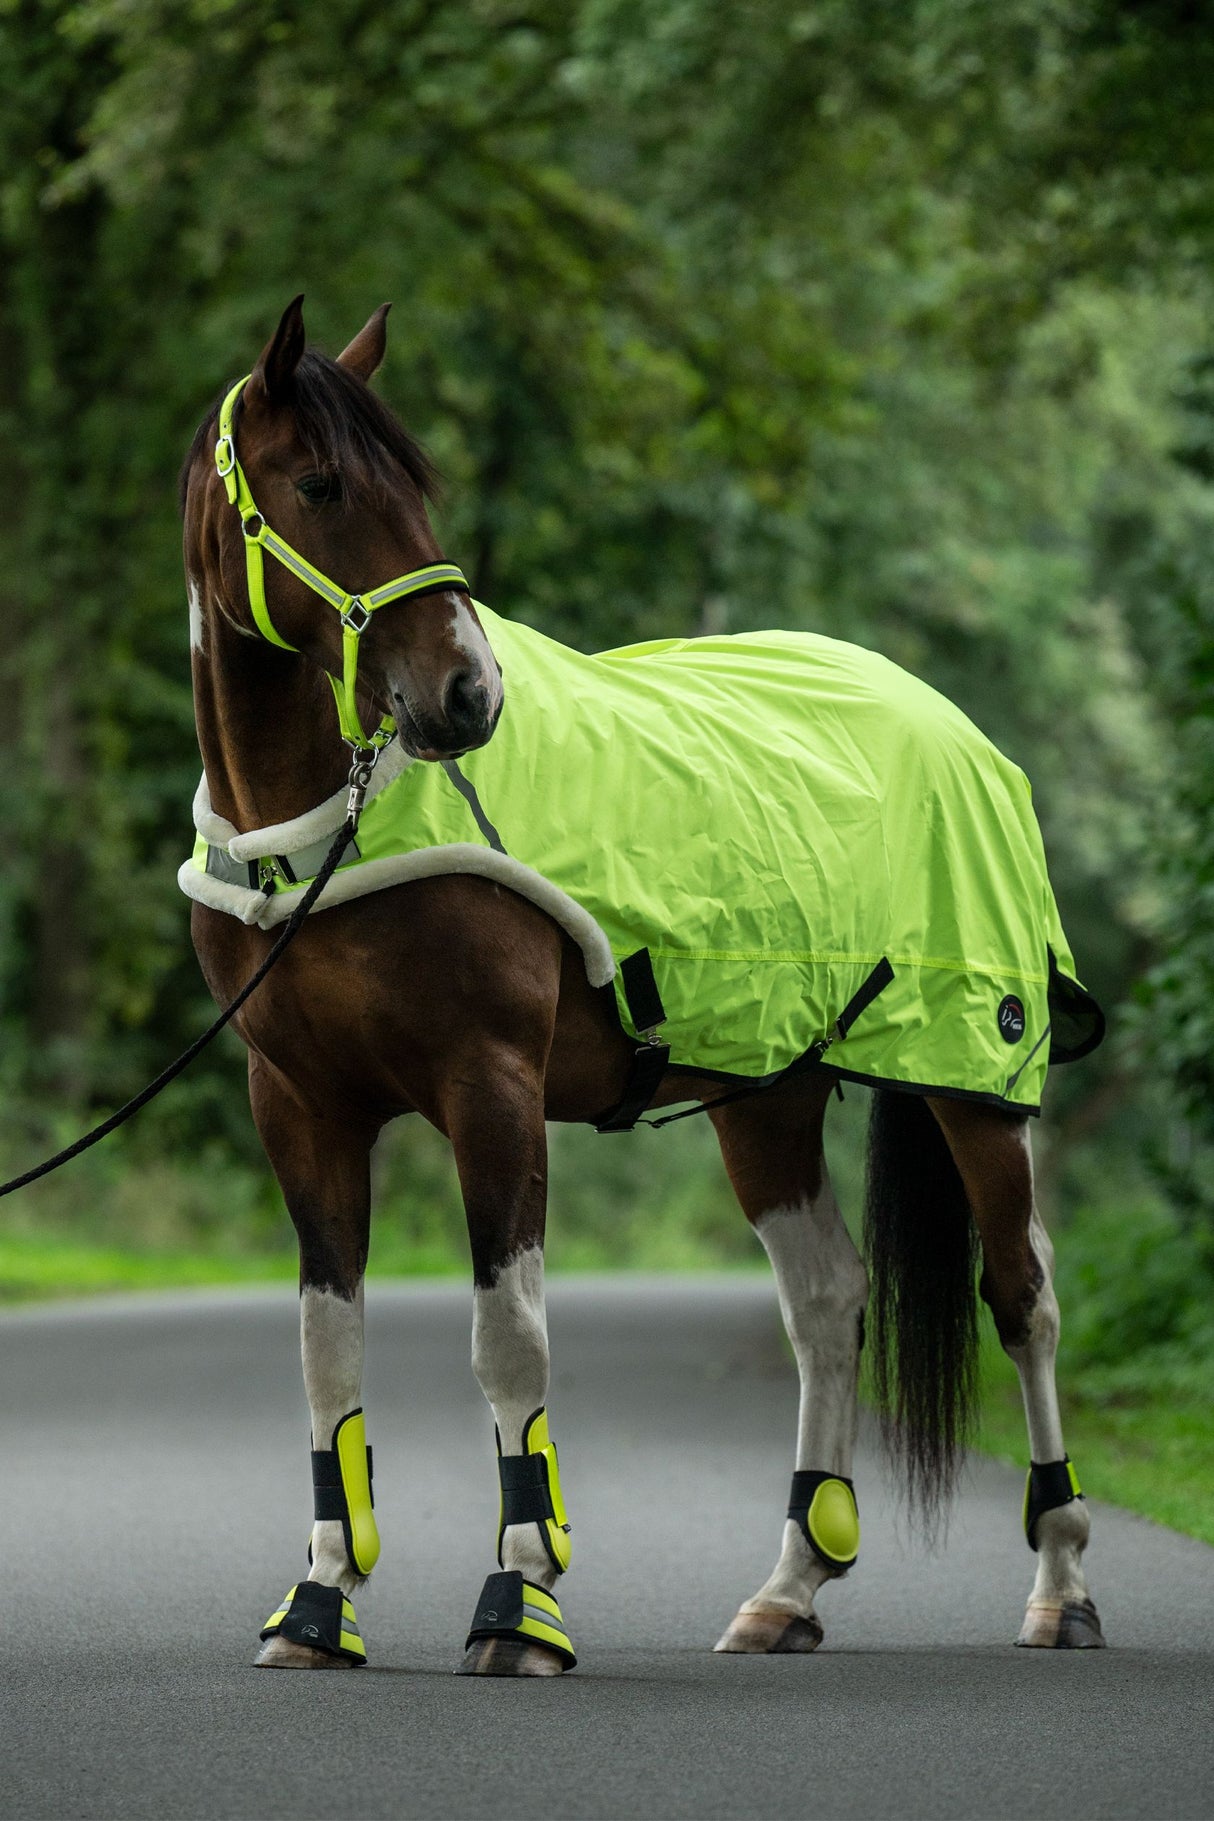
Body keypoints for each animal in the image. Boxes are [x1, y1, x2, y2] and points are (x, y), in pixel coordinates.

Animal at [178, 295, 1105, 1674]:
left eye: (416, 485)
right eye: (320, 484)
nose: (468, 695)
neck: (327, 825)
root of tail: (951, 727)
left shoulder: (490, 1089)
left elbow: (508, 1344)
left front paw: (520, 1605)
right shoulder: (300, 1106)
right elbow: (325, 1354)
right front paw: (319, 1605)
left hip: (972, 1082)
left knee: (1022, 1299)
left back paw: (1060, 1586)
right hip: (768, 1094)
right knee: (827, 1301)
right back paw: (786, 1592)